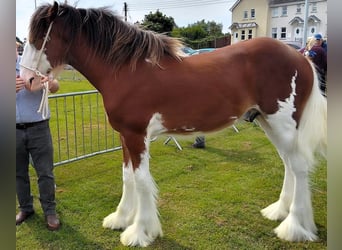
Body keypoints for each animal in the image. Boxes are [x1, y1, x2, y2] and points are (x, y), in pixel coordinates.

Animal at [20, 2, 326, 248]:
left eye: (40, 37)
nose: (28, 80)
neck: (127, 69)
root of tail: (299, 56)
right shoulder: (124, 136)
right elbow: (127, 177)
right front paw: (120, 218)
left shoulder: (136, 135)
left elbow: (142, 181)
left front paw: (140, 232)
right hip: (268, 122)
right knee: (288, 164)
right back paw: (279, 211)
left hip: (282, 123)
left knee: (299, 167)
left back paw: (294, 227)